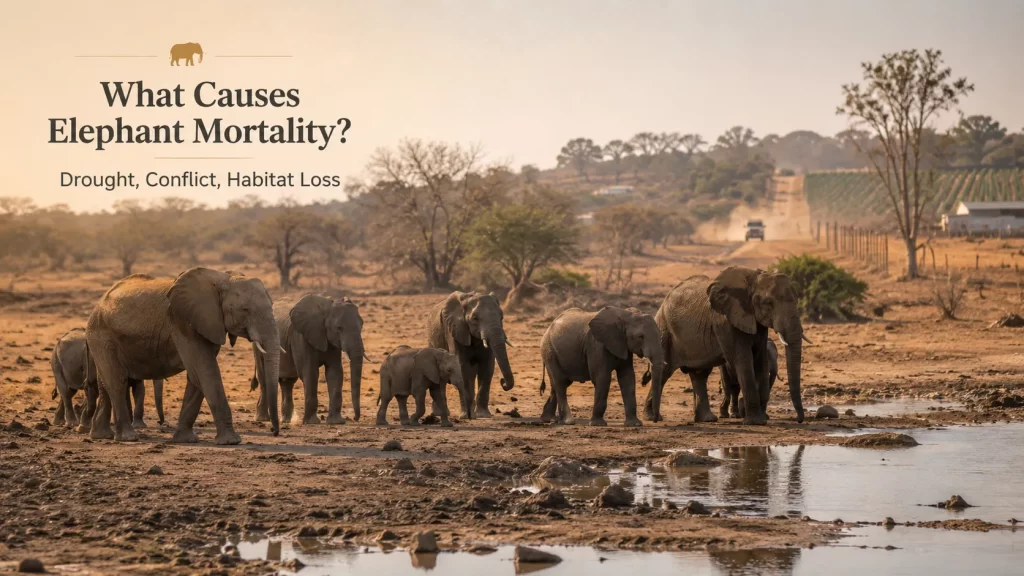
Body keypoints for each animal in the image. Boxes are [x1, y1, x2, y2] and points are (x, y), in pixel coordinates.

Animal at [85, 268, 280, 443]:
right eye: (245, 310)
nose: (274, 431)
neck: (223, 278)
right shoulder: (182, 322)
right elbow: (204, 370)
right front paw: (231, 441)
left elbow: (197, 375)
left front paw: (185, 439)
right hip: (101, 335)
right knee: (117, 381)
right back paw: (128, 437)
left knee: (105, 384)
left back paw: (101, 436)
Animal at [253, 294, 366, 425]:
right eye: (339, 328)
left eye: (362, 325)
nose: (355, 418)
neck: (328, 307)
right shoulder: (301, 338)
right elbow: (310, 373)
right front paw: (312, 422)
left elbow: (334, 373)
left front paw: (336, 422)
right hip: (259, 344)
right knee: (265, 379)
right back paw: (263, 419)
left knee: (287, 382)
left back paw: (286, 420)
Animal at [642, 266, 806, 425]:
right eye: (768, 303)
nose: (799, 420)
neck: (753, 279)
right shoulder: (725, 321)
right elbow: (743, 361)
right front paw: (757, 422)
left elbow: (760, 361)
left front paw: (761, 418)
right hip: (664, 331)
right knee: (664, 371)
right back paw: (652, 417)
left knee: (699, 374)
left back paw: (707, 419)